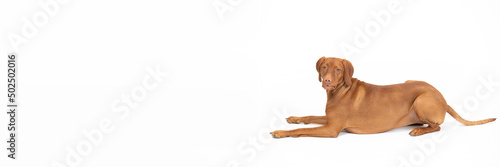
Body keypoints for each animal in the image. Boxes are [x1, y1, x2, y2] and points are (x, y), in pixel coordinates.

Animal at [272, 56, 498, 138]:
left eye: (338, 69)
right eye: (324, 67)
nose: (326, 81)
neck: (339, 91)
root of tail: (443, 99)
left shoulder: (332, 129)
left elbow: (301, 131)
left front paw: (282, 132)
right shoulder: (329, 120)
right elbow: (308, 117)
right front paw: (293, 118)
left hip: (421, 99)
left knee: (437, 126)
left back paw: (418, 131)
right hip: (410, 81)